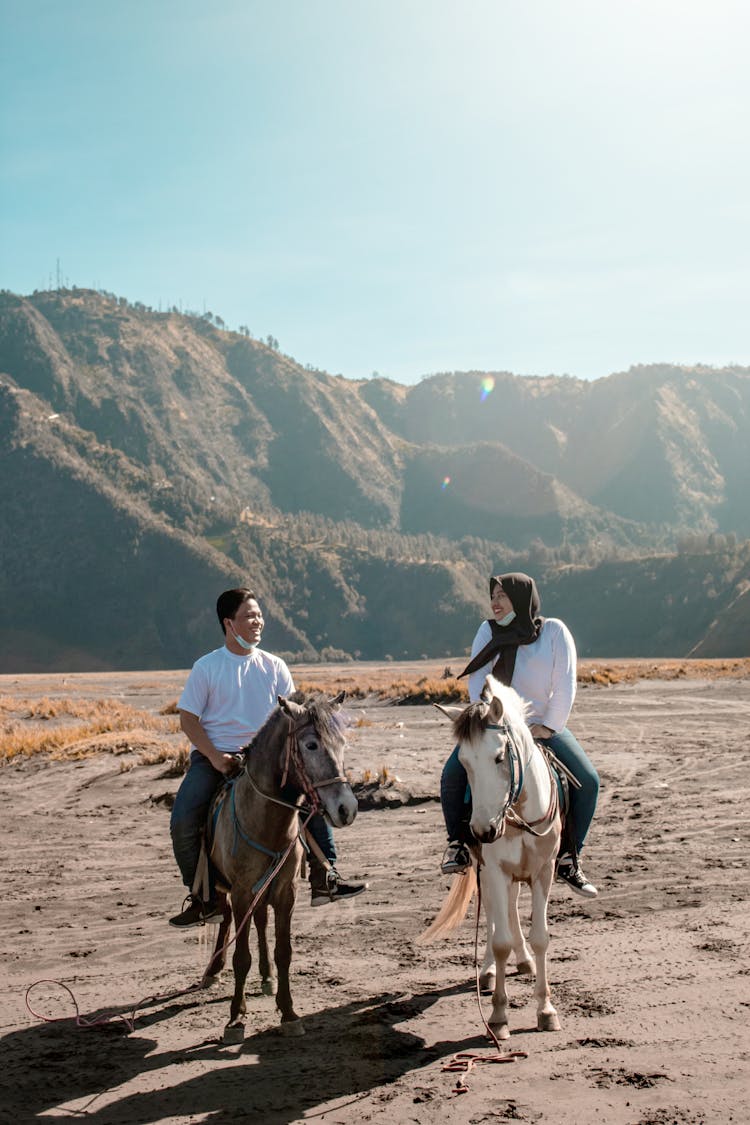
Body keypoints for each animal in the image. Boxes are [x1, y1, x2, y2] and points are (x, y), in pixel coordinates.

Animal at [199, 688, 357, 1039]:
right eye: (311, 745)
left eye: (343, 743)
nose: (347, 808)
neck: (266, 823)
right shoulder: (242, 892)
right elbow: (240, 957)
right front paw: (236, 1017)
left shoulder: (286, 892)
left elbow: (284, 952)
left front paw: (288, 1012)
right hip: (223, 888)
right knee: (225, 919)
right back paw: (212, 970)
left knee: (260, 922)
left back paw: (267, 976)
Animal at [422, 675, 562, 1035]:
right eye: (464, 763)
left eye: (500, 757)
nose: (482, 831)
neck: (517, 816)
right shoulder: (495, 870)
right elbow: (499, 941)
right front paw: (499, 1016)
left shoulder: (543, 871)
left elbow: (540, 938)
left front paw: (546, 1010)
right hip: (485, 871)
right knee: (493, 918)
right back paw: (485, 972)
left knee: (510, 910)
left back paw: (524, 960)